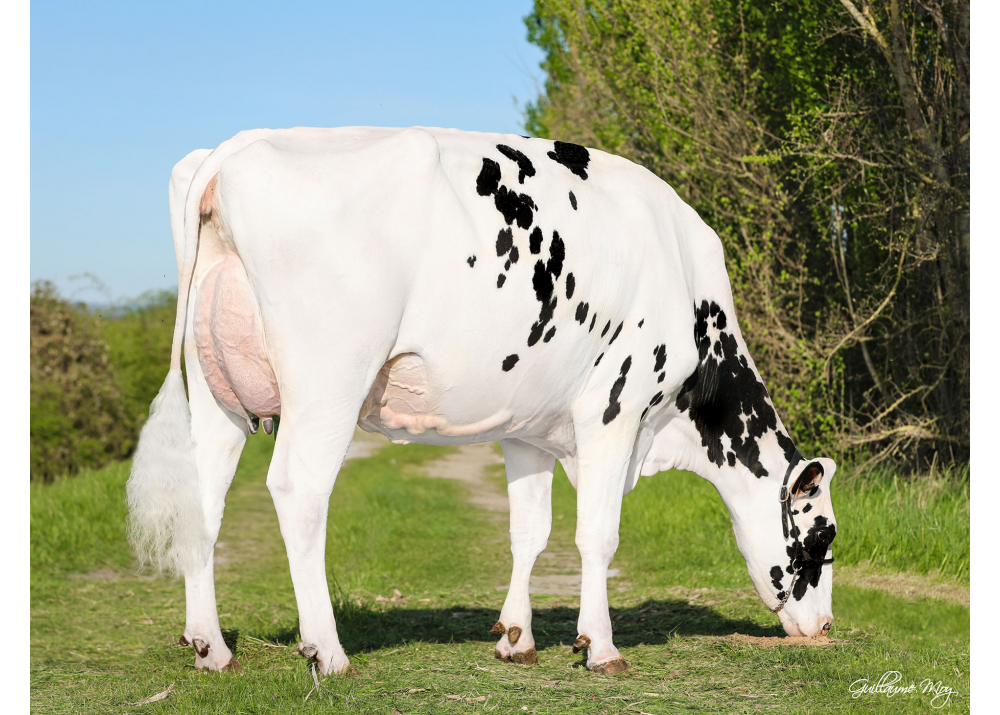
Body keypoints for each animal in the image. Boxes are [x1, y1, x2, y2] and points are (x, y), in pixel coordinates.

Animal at [129, 126, 840, 680]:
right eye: (819, 540)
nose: (827, 627)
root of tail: (233, 147)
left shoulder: (528, 427)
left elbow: (530, 532)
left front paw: (516, 640)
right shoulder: (614, 408)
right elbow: (598, 534)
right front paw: (601, 647)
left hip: (218, 390)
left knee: (203, 496)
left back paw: (212, 649)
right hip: (329, 379)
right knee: (300, 492)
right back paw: (327, 653)